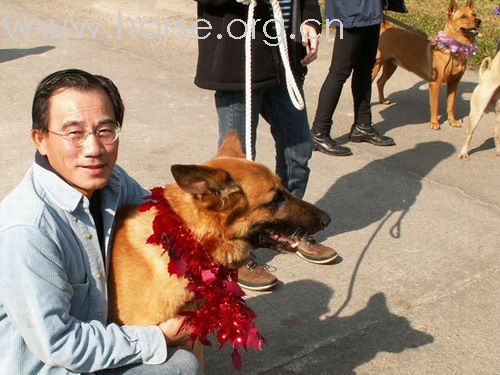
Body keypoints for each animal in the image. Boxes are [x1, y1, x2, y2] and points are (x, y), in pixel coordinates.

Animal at [372, 0, 480, 130]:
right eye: (463, 16)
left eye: (474, 14)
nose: (479, 21)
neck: (453, 49)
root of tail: (386, 27)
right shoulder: (434, 84)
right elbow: (434, 106)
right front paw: (434, 123)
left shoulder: (454, 83)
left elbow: (450, 105)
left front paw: (452, 121)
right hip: (376, 65)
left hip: (391, 66)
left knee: (380, 82)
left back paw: (382, 100)